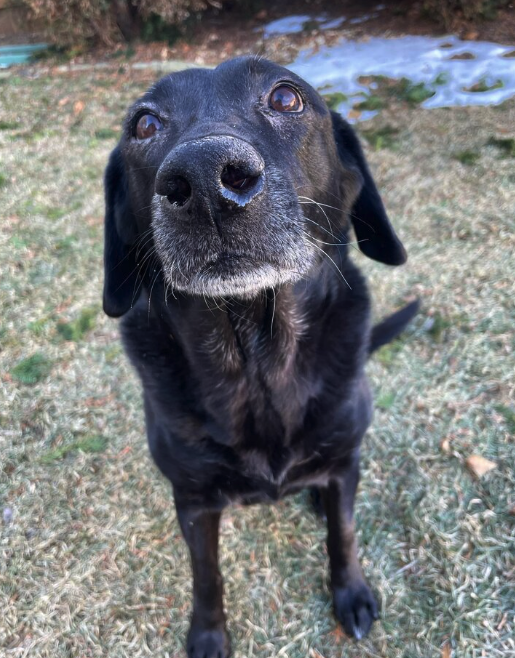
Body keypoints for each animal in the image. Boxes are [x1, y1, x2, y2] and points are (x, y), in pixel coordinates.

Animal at [104, 57, 420, 656]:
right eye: (144, 125)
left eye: (286, 97)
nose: (204, 177)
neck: (257, 358)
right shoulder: (193, 499)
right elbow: (206, 573)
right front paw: (208, 634)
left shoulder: (342, 463)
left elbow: (343, 533)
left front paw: (350, 593)